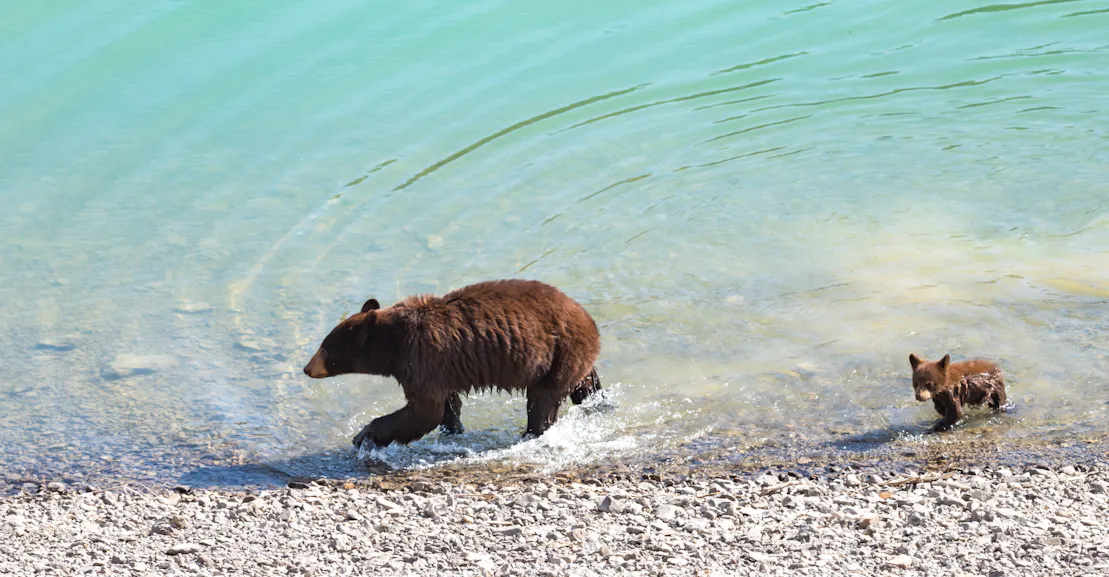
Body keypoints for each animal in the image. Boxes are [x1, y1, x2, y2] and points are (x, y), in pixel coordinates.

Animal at [303, 279, 603, 448]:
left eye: (325, 348)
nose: (306, 368)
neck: (393, 342)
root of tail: (589, 320)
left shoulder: (420, 357)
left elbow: (424, 410)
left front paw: (364, 435)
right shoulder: (438, 368)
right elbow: (446, 405)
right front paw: (453, 430)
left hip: (559, 353)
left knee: (542, 402)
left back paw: (529, 433)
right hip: (570, 357)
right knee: (584, 383)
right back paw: (598, 401)